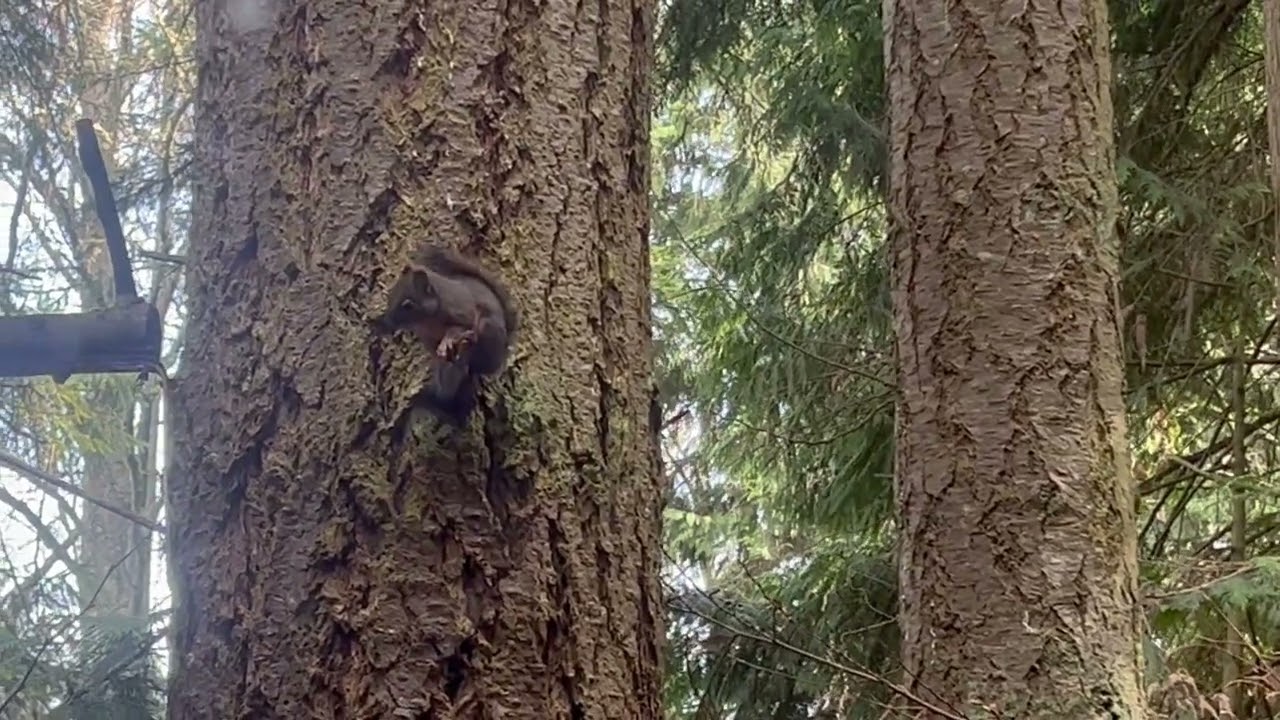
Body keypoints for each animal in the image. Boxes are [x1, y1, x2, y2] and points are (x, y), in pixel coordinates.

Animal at [375, 245, 519, 426]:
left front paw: (449, 340)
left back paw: (468, 342)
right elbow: (433, 347)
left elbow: (459, 327)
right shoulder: (427, 335)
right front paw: (441, 350)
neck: (427, 320)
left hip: (488, 329)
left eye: (408, 305)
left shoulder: (461, 310)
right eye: (391, 295)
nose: (387, 321)